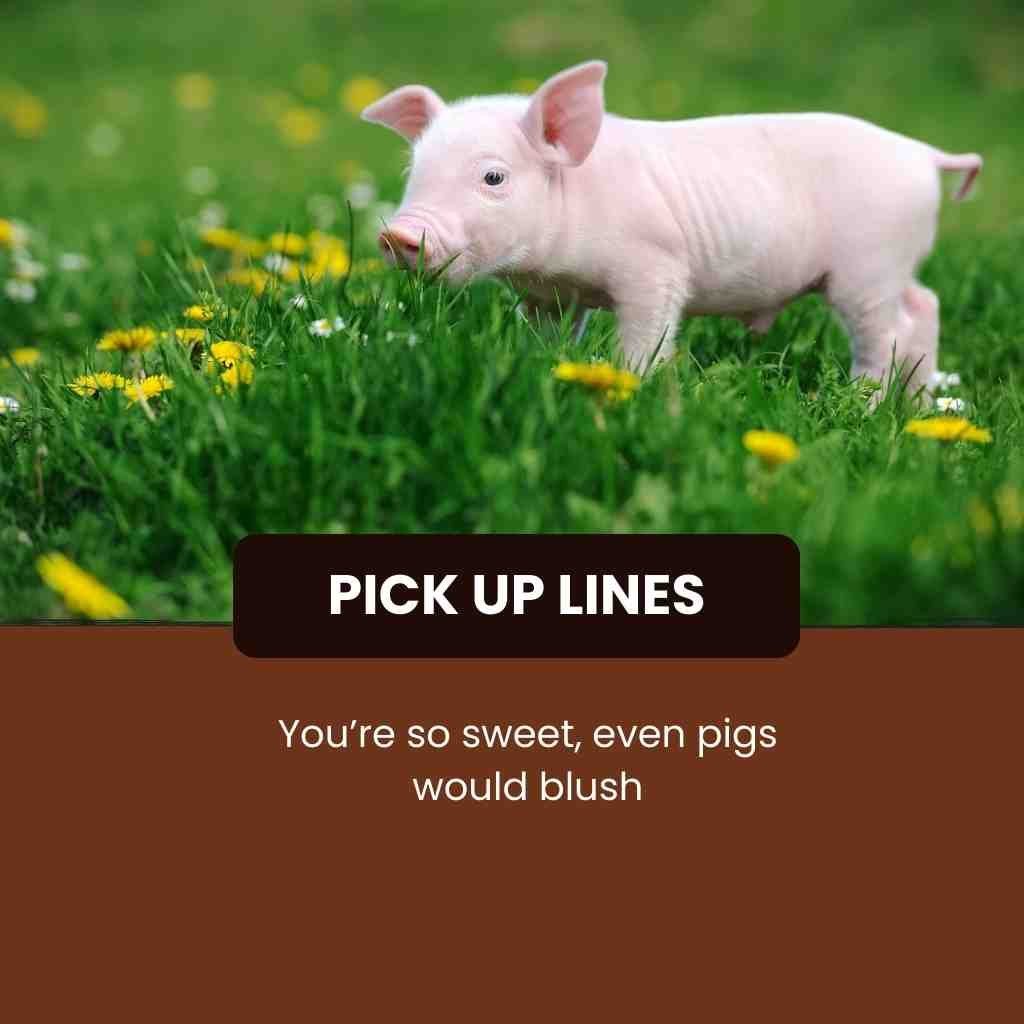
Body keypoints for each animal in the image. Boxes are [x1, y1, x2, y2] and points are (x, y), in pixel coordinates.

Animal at [362, 61, 982, 396]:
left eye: (493, 177)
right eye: (415, 171)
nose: (399, 234)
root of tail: (923, 154)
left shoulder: (654, 266)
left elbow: (644, 337)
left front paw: (629, 386)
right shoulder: (549, 295)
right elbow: (550, 336)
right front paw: (546, 368)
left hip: (868, 265)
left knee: (890, 331)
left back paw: (866, 403)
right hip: (891, 267)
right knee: (925, 305)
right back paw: (918, 409)